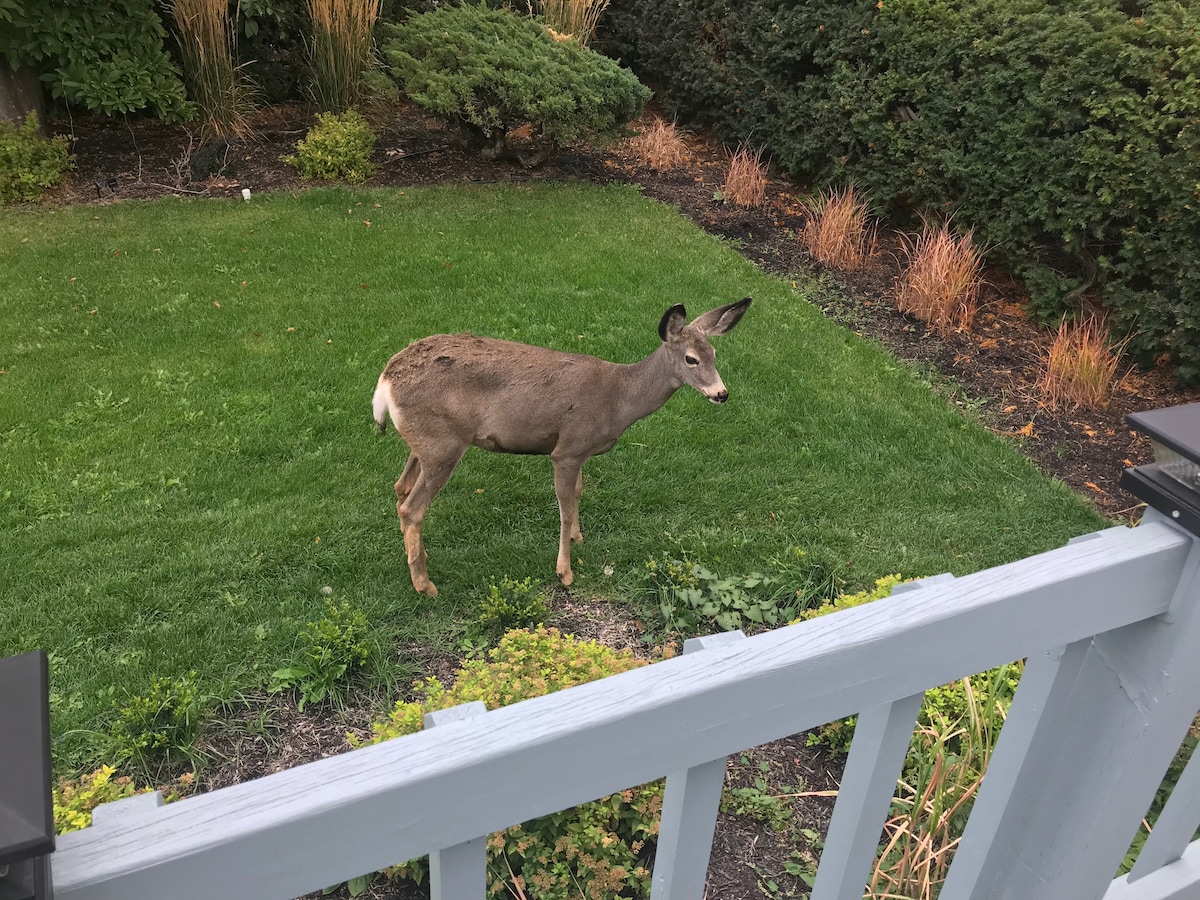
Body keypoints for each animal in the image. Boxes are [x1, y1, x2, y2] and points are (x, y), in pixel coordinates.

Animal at [372, 297, 752, 596]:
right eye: (691, 359)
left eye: (714, 353)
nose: (721, 394)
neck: (618, 398)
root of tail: (385, 381)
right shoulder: (567, 448)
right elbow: (565, 505)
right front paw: (564, 572)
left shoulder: (580, 452)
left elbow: (580, 493)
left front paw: (576, 538)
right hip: (444, 445)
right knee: (412, 508)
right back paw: (425, 585)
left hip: (428, 441)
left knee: (401, 487)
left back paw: (417, 559)